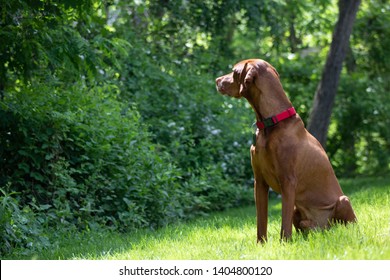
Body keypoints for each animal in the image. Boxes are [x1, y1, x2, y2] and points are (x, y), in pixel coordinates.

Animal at [216, 59, 356, 243]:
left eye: (234, 72)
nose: (217, 80)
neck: (270, 124)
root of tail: (321, 229)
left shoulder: (288, 181)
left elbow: (284, 221)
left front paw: (284, 243)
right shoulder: (259, 181)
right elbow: (261, 220)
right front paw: (261, 244)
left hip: (343, 201)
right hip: (301, 213)